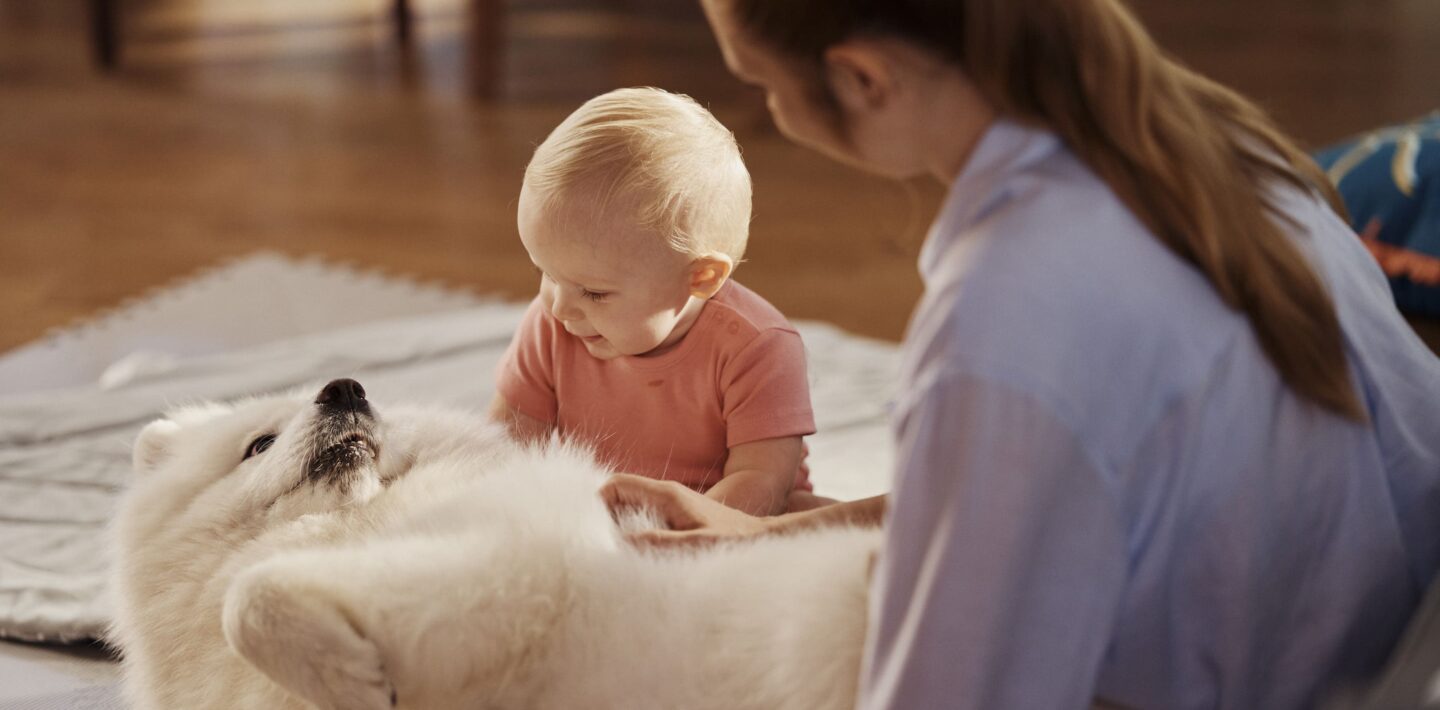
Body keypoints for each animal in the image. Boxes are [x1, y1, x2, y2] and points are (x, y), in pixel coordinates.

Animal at [106, 380, 875, 705]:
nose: (345, 388)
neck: (349, 528)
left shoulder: (514, 561)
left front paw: (354, 685)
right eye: (258, 444)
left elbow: (250, 598)